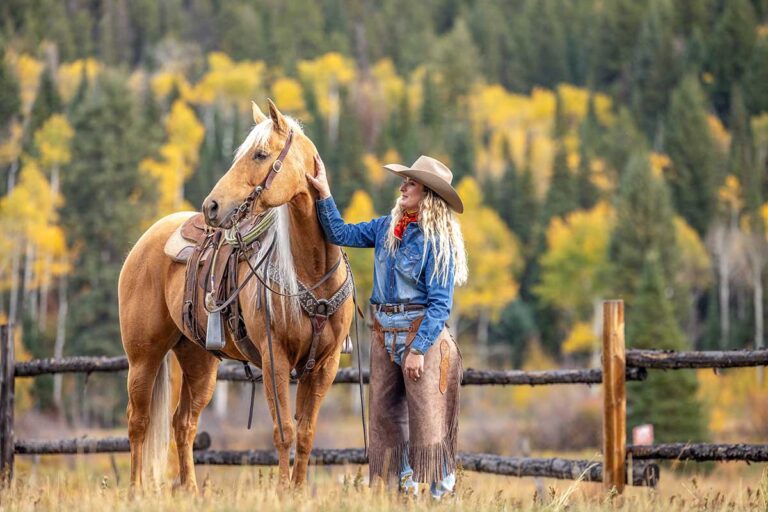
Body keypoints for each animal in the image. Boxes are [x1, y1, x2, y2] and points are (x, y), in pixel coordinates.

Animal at [118, 100, 355, 491]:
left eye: (260, 154)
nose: (211, 206)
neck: (311, 273)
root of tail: (146, 240)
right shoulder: (275, 359)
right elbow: (284, 431)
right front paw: (283, 491)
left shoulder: (325, 365)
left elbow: (306, 434)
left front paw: (299, 491)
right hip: (143, 356)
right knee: (138, 422)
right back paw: (136, 490)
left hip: (199, 360)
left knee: (183, 423)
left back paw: (191, 491)